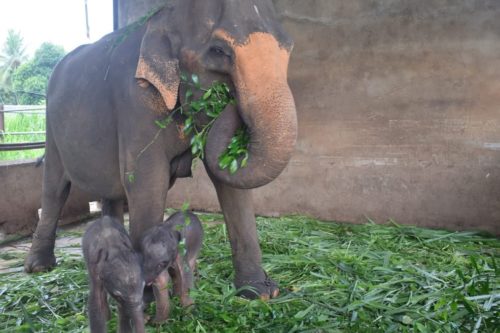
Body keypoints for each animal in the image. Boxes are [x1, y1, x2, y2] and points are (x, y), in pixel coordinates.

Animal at [24, 0, 296, 298]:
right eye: (219, 51)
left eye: (289, 47)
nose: (229, 100)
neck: (165, 17)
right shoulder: (136, 99)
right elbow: (147, 182)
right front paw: (147, 295)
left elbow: (230, 180)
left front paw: (260, 293)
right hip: (51, 128)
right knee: (55, 189)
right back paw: (39, 267)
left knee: (111, 192)